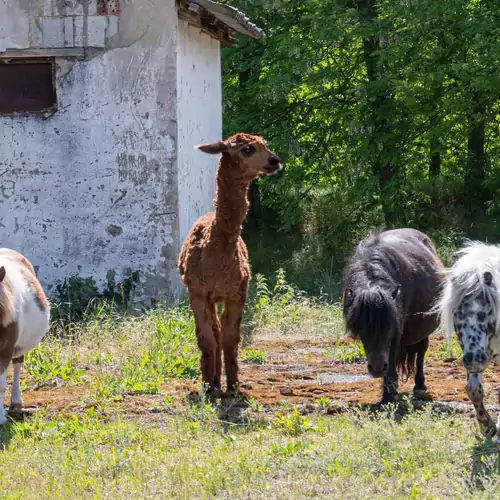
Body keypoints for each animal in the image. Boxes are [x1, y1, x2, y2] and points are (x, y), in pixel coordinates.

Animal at [342, 229, 444, 404]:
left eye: (389, 326)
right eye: (362, 328)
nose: (376, 368)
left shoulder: (396, 333)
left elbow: (391, 359)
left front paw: (389, 394)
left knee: (421, 352)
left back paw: (419, 387)